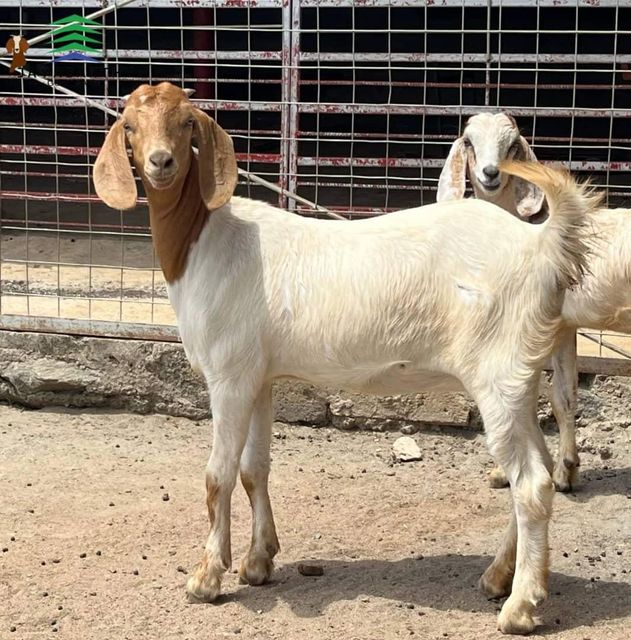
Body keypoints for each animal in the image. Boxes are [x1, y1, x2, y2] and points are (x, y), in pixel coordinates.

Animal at [93, 83, 600, 635]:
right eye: (129, 126)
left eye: (187, 123)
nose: (161, 162)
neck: (203, 240)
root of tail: (543, 244)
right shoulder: (258, 374)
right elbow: (254, 468)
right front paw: (258, 561)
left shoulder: (227, 375)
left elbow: (218, 474)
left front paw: (207, 578)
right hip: (519, 376)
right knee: (539, 468)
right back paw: (498, 576)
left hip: (497, 371)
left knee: (530, 483)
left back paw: (521, 606)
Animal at [437, 112, 631, 492]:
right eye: (468, 140)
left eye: (513, 144)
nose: (491, 173)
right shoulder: (566, 325)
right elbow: (564, 396)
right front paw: (564, 469)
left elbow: (539, 396)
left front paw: (550, 473)